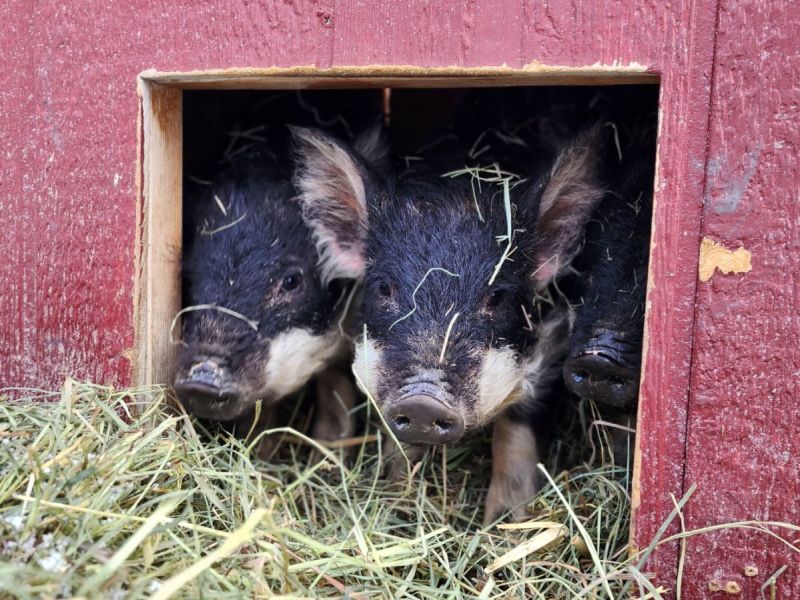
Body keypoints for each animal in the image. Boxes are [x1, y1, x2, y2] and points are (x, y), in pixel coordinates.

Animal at [291, 124, 606, 522]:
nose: (423, 401)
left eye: (497, 297)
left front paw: (504, 521)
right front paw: (398, 498)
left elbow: (517, 425)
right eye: (383, 287)